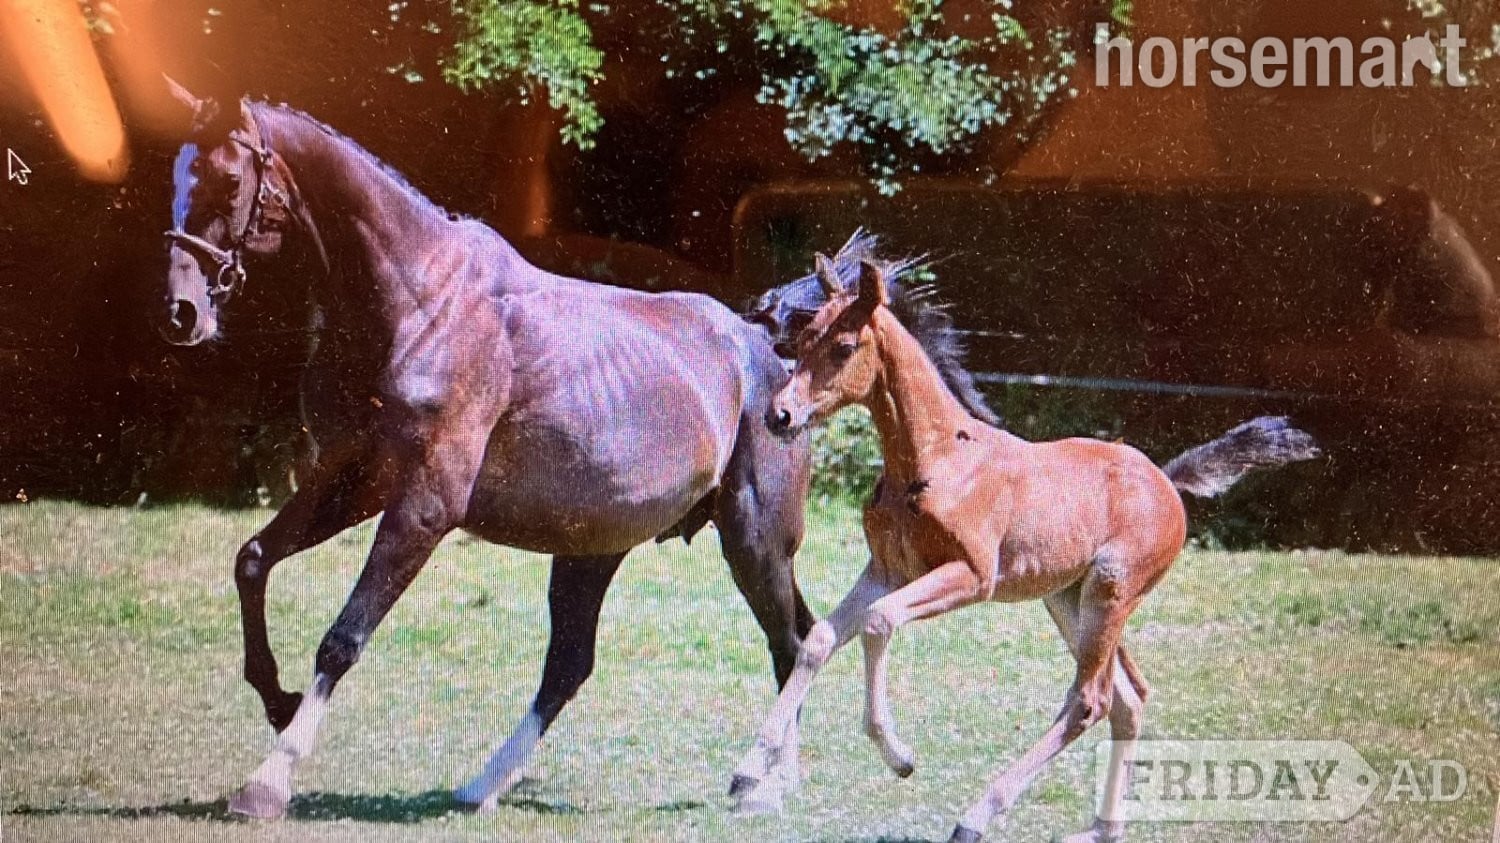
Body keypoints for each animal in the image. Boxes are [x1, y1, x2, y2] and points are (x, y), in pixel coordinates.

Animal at [156, 76, 826, 819]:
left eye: (228, 177)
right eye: (175, 174)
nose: (183, 311)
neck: (420, 303)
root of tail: (765, 347)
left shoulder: (425, 505)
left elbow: (342, 638)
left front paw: (268, 781)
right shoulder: (353, 478)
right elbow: (251, 560)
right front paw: (278, 700)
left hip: (753, 537)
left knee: (795, 640)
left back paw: (762, 781)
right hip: (593, 549)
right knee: (573, 665)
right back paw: (482, 786)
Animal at [729, 256, 1320, 842]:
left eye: (844, 346)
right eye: (803, 340)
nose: (779, 415)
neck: (936, 460)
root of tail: (1168, 482)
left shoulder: (971, 576)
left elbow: (878, 621)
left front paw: (899, 756)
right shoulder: (888, 569)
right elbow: (819, 640)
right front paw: (748, 772)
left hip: (1111, 589)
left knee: (1089, 701)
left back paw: (976, 817)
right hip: (1067, 598)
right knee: (1128, 697)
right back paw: (1100, 830)